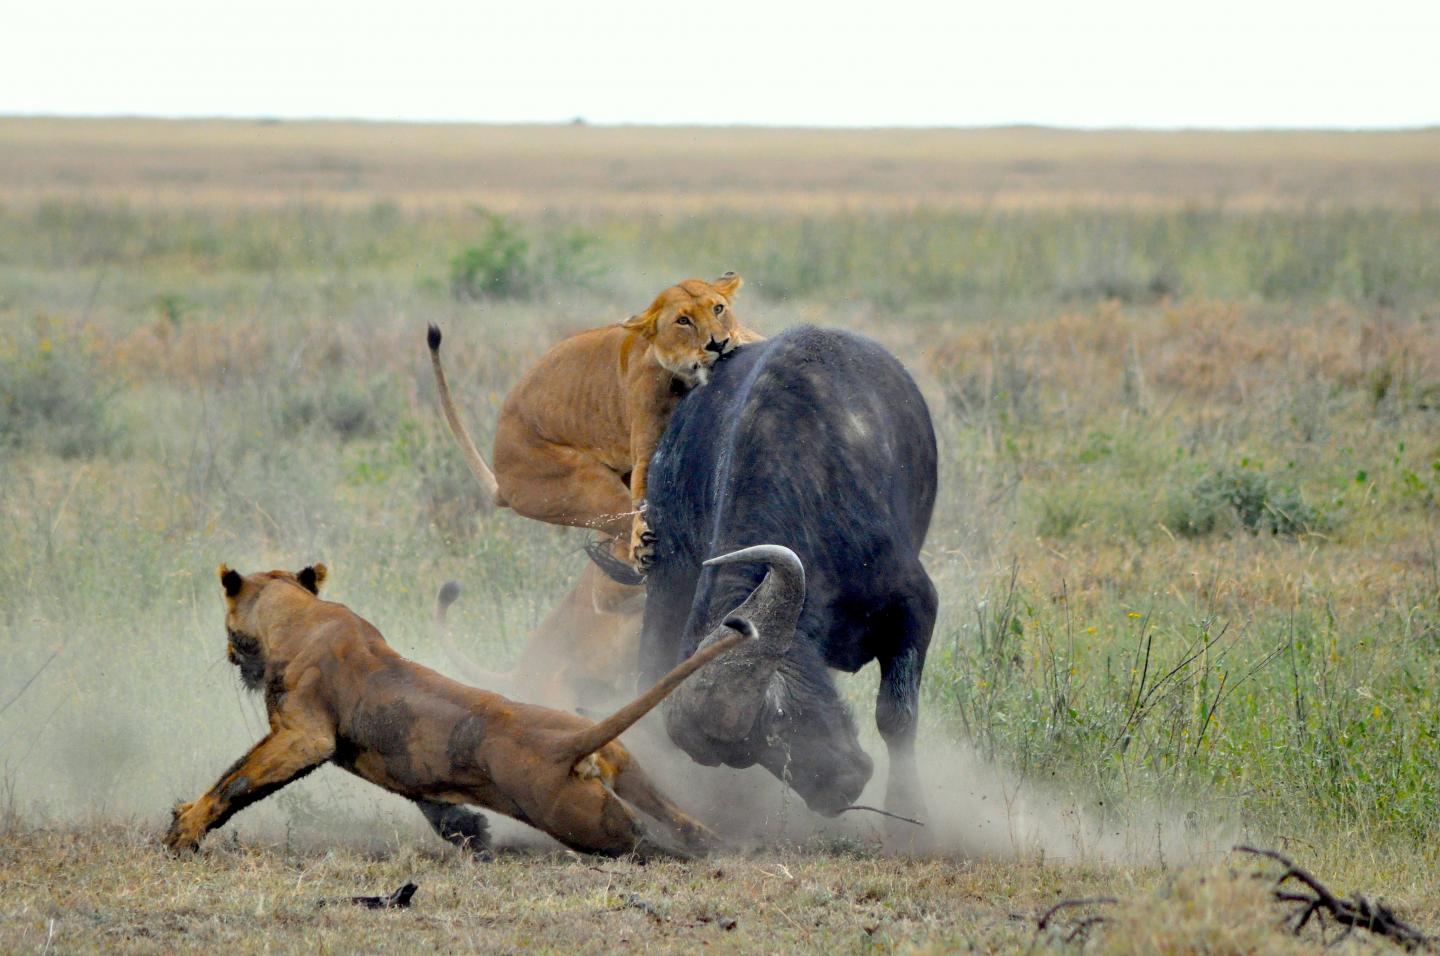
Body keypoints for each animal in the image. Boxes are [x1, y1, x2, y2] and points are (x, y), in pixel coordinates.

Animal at [163, 561, 760, 858]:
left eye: (229, 630)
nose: (229, 653)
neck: (298, 615)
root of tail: (569, 743)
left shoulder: (304, 735)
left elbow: (237, 780)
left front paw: (183, 830)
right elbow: (427, 796)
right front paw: (469, 832)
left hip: (587, 822)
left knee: (651, 842)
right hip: (632, 773)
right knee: (684, 822)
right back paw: (725, 846)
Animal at [429, 269, 760, 581]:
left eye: (718, 308)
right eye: (683, 321)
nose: (718, 344)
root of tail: (499, 470)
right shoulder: (647, 450)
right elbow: (643, 499)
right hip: (582, 484)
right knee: (622, 521)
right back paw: (640, 551)